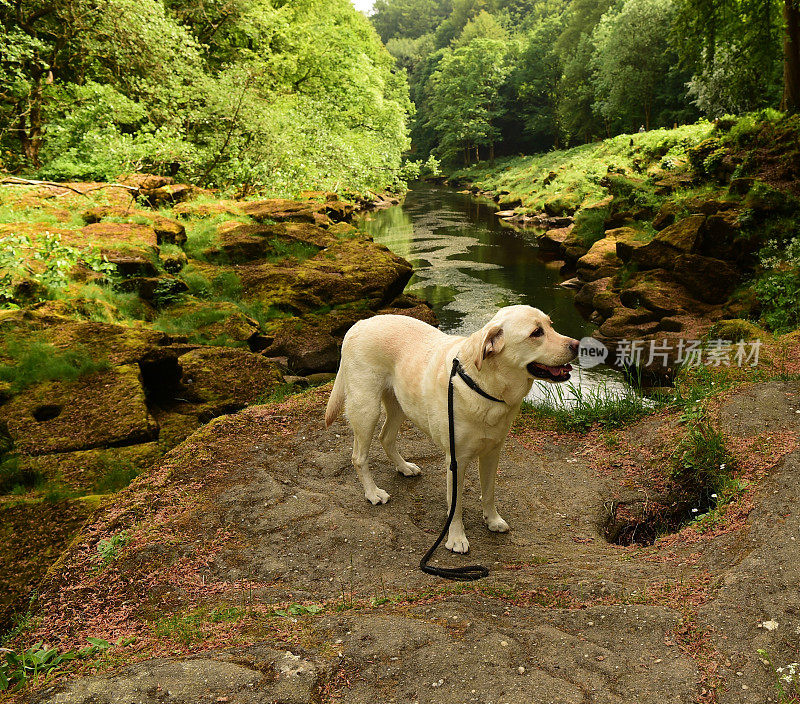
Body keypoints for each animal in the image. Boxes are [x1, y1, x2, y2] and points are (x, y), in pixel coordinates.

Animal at [322, 306, 580, 552]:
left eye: (550, 325)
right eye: (536, 333)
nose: (577, 345)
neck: (485, 386)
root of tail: (360, 323)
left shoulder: (492, 453)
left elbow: (489, 491)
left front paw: (492, 520)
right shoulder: (457, 460)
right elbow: (455, 505)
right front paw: (456, 538)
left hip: (400, 403)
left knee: (386, 437)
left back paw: (404, 467)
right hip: (366, 409)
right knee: (358, 457)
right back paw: (373, 493)